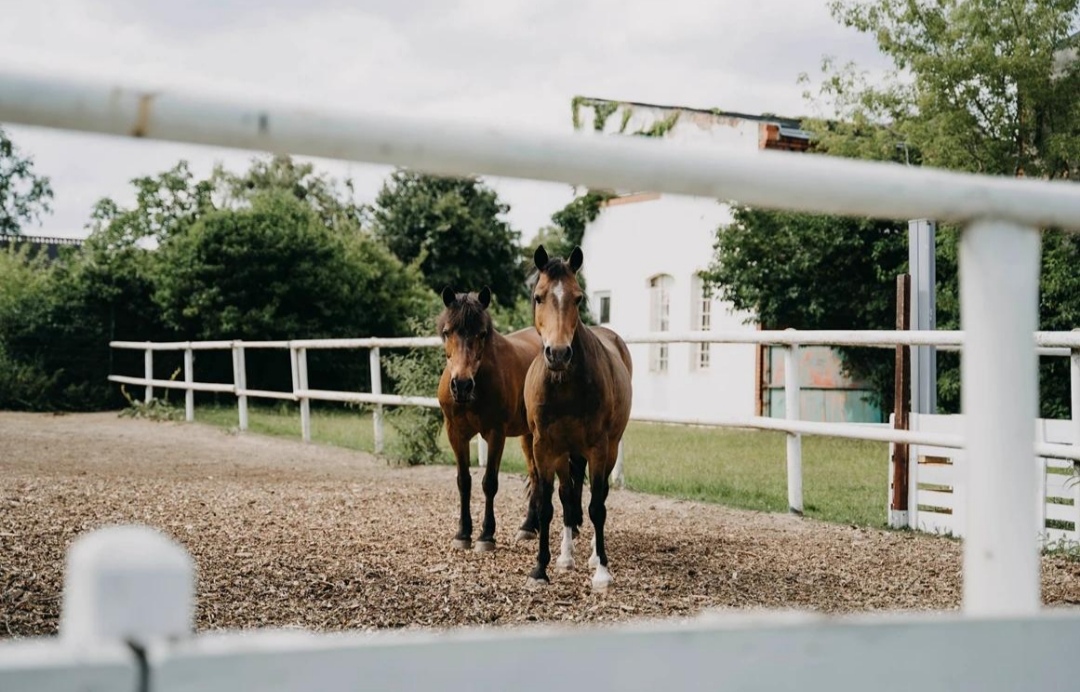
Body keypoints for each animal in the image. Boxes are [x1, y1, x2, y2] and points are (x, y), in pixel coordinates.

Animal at [436, 285, 544, 552]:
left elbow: (489, 483)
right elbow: (464, 481)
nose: (461, 385)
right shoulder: (456, 434)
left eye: (482, 333)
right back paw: (529, 527)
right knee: (536, 476)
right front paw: (463, 534)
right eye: (447, 332)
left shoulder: (496, 434)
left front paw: (486, 536)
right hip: (529, 436)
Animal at [523, 245, 633, 591]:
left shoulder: (598, 448)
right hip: (564, 453)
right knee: (568, 497)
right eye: (539, 297)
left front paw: (602, 572)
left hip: (608, 449)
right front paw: (540, 569)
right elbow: (550, 505)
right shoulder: (544, 448)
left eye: (578, 298)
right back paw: (566, 556)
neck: (565, 386)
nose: (558, 354)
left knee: (598, 498)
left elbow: (597, 506)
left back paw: (595, 557)